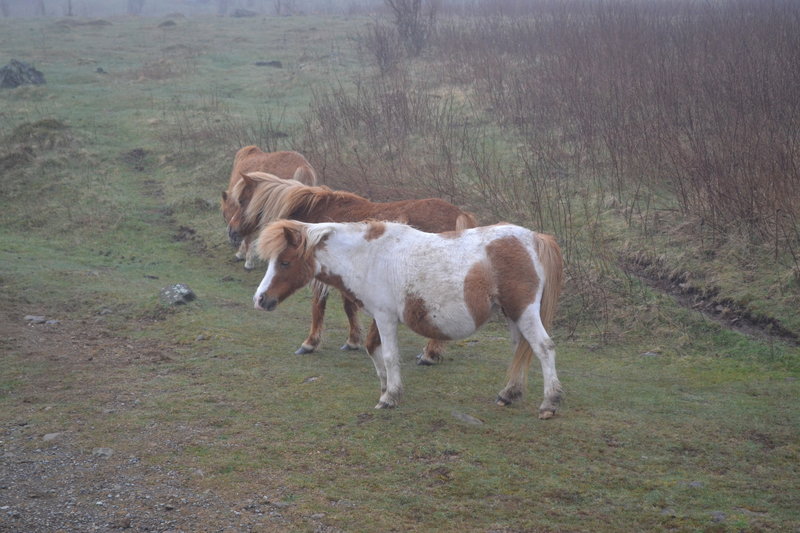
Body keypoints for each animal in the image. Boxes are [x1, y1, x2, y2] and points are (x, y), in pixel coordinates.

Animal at [225, 172, 476, 364]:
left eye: (242, 201)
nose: (232, 231)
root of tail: (459, 213)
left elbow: (318, 307)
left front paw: (310, 343)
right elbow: (348, 306)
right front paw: (353, 340)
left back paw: (429, 354)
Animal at [253, 218, 564, 418]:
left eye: (285, 262)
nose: (260, 299)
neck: (369, 257)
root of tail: (535, 238)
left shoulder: (386, 318)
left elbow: (390, 356)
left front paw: (390, 397)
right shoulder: (379, 317)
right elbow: (372, 348)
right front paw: (386, 388)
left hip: (524, 311)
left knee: (544, 348)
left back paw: (549, 403)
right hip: (513, 316)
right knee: (521, 350)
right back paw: (509, 394)